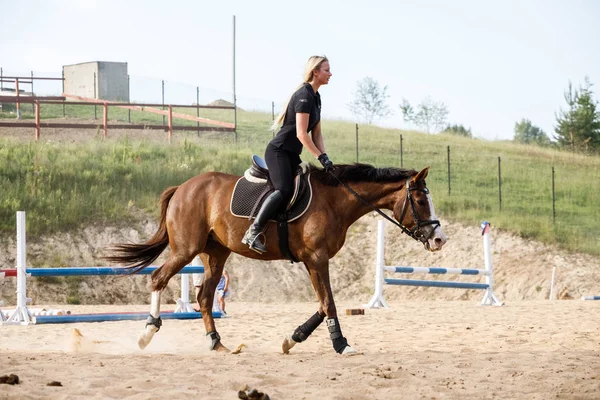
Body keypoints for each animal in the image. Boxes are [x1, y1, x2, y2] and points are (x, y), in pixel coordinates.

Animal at [106, 161, 446, 354]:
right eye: (419, 200)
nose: (439, 239)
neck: (335, 200)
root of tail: (182, 187)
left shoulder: (314, 261)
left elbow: (323, 304)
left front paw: (292, 339)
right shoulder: (316, 258)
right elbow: (329, 304)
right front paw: (340, 344)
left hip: (215, 253)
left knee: (204, 297)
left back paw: (217, 343)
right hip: (185, 249)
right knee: (159, 278)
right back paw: (147, 334)